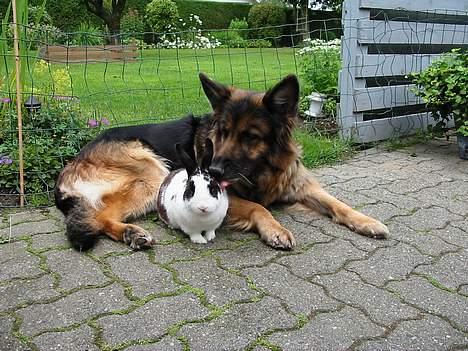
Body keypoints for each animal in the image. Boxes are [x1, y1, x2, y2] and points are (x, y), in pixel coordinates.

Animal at [55, 73, 388, 250]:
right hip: (153, 171)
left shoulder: (301, 185)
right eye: (223, 132)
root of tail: (72, 163)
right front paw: (274, 228)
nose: (212, 170)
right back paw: (131, 233)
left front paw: (366, 221)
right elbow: (257, 207)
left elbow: (336, 203)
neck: (263, 170)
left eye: (250, 137)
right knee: (95, 217)